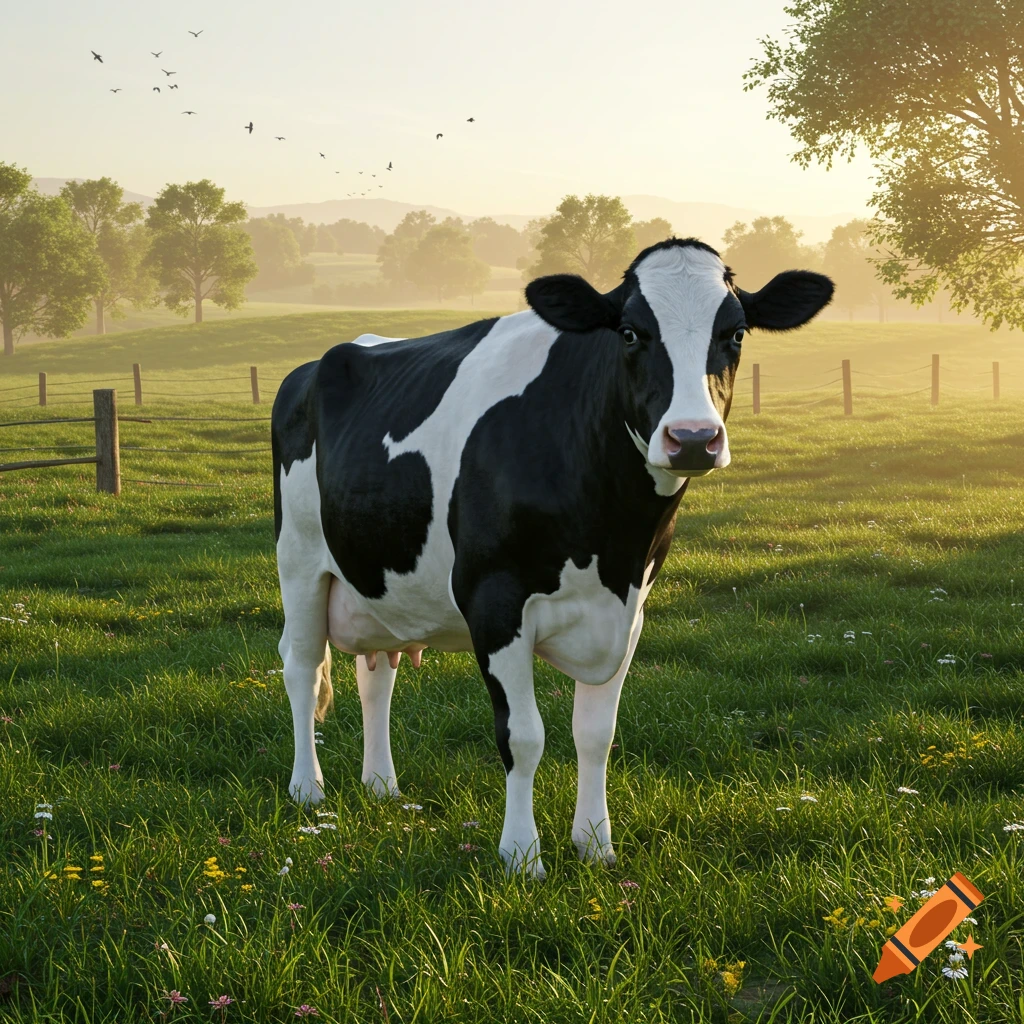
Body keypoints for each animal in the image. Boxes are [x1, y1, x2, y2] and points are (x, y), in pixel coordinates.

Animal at [272, 238, 833, 878]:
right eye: (630, 333)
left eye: (736, 333)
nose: (693, 438)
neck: (610, 541)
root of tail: (328, 358)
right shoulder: (493, 597)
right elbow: (522, 736)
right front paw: (521, 856)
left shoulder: (630, 610)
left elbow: (596, 733)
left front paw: (595, 845)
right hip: (300, 561)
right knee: (300, 665)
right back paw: (307, 789)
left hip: (379, 579)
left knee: (376, 676)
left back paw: (382, 786)